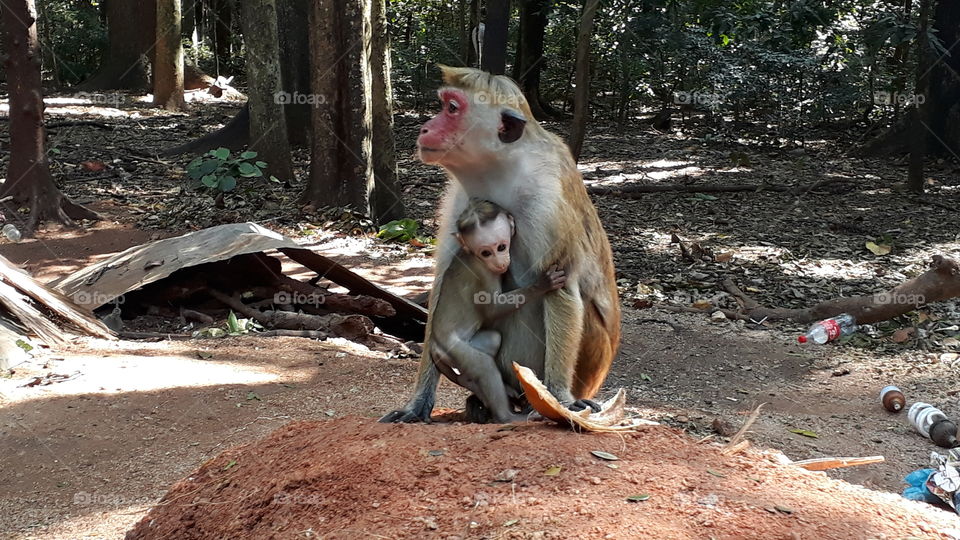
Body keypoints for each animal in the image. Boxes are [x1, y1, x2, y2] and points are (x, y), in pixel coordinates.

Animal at [429, 198, 567, 423]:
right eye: (486, 252)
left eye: (501, 247)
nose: (500, 261)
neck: (472, 255)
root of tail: (433, 346)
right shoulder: (484, 272)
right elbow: (493, 308)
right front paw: (541, 285)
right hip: (455, 348)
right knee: (483, 366)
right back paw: (506, 416)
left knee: (492, 340)